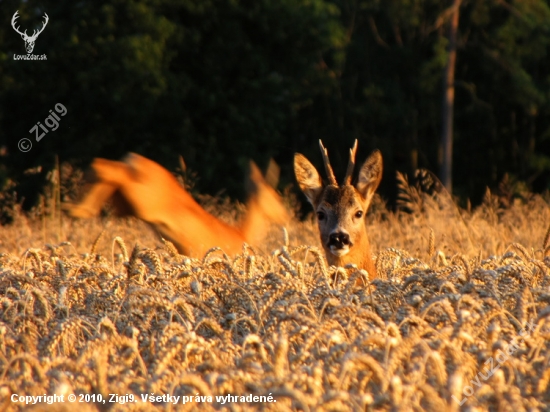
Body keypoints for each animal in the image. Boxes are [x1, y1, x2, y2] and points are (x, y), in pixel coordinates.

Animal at [64, 154, 288, 258]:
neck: (241, 234)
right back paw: (75, 208)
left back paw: (77, 209)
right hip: (143, 200)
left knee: (107, 170)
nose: (286, 216)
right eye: (275, 196)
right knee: (106, 167)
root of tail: (134, 159)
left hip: (128, 202)